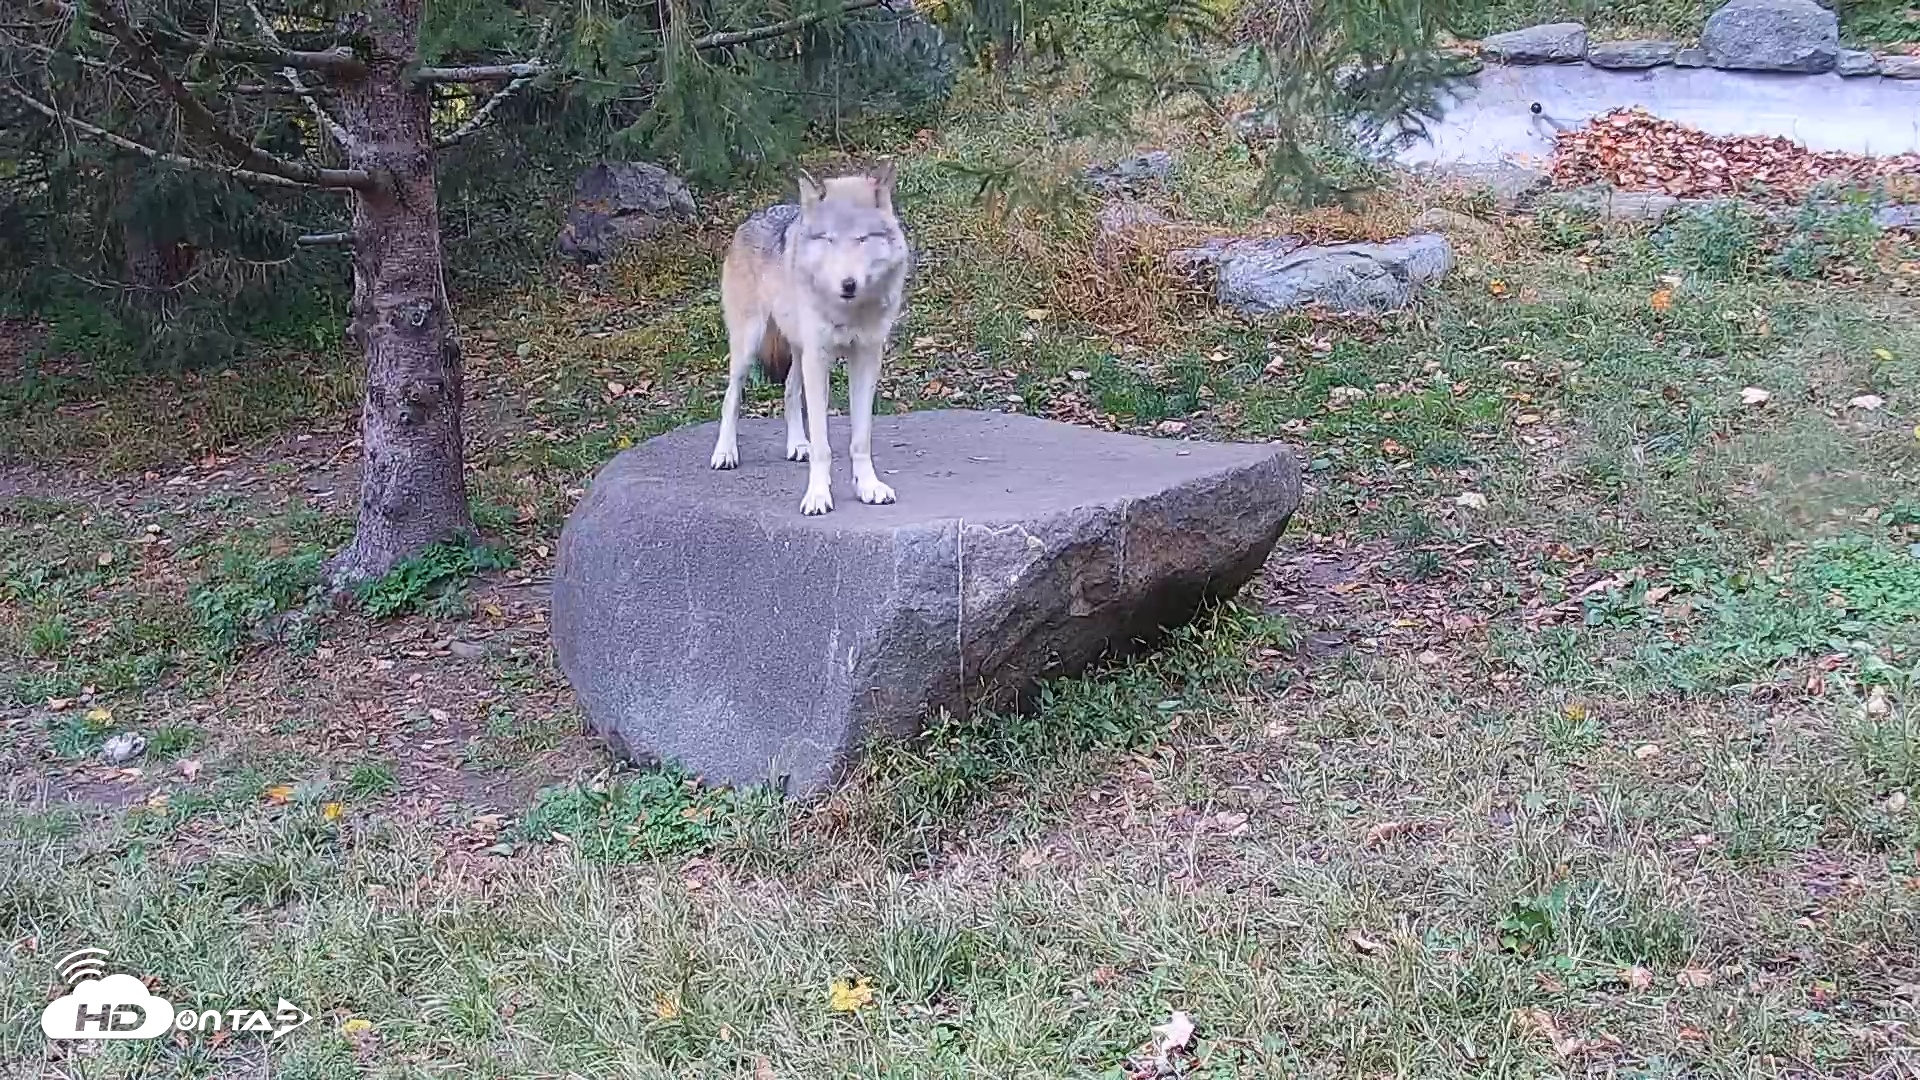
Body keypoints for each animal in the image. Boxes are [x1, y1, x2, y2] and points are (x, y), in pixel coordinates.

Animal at [708, 166, 911, 516]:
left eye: (862, 239)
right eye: (829, 239)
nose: (848, 284)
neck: (847, 311)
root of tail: (757, 214)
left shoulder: (866, 358)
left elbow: (860, 438)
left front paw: (868, 487)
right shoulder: (819, 358)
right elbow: (823, 445)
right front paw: (818, 496)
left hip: (799, 352)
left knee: (789, 392)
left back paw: (797, 445)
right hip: (749, 346)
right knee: (731, 397)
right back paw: (725, 452)